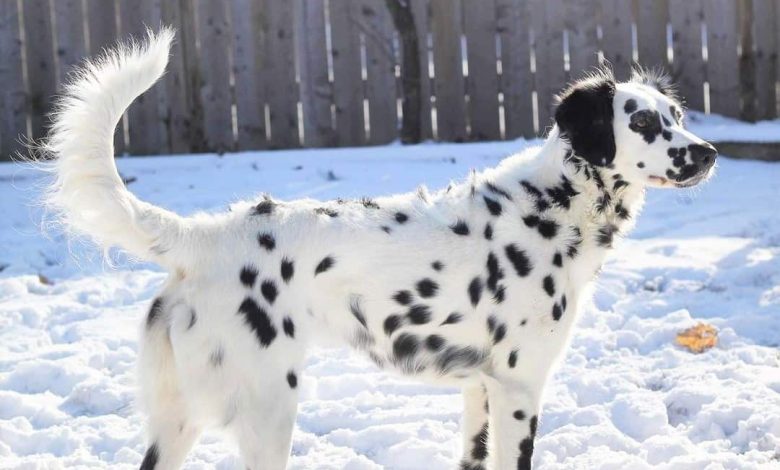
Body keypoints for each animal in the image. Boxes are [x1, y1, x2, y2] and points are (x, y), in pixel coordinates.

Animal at [39, 29, 716, 470]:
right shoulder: (519, 388)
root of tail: (202, 238)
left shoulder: (481, 390)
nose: (708, 153)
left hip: (181, 419)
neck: (550, 206)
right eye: (643, 123)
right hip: (267, 409)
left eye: (677, 115)